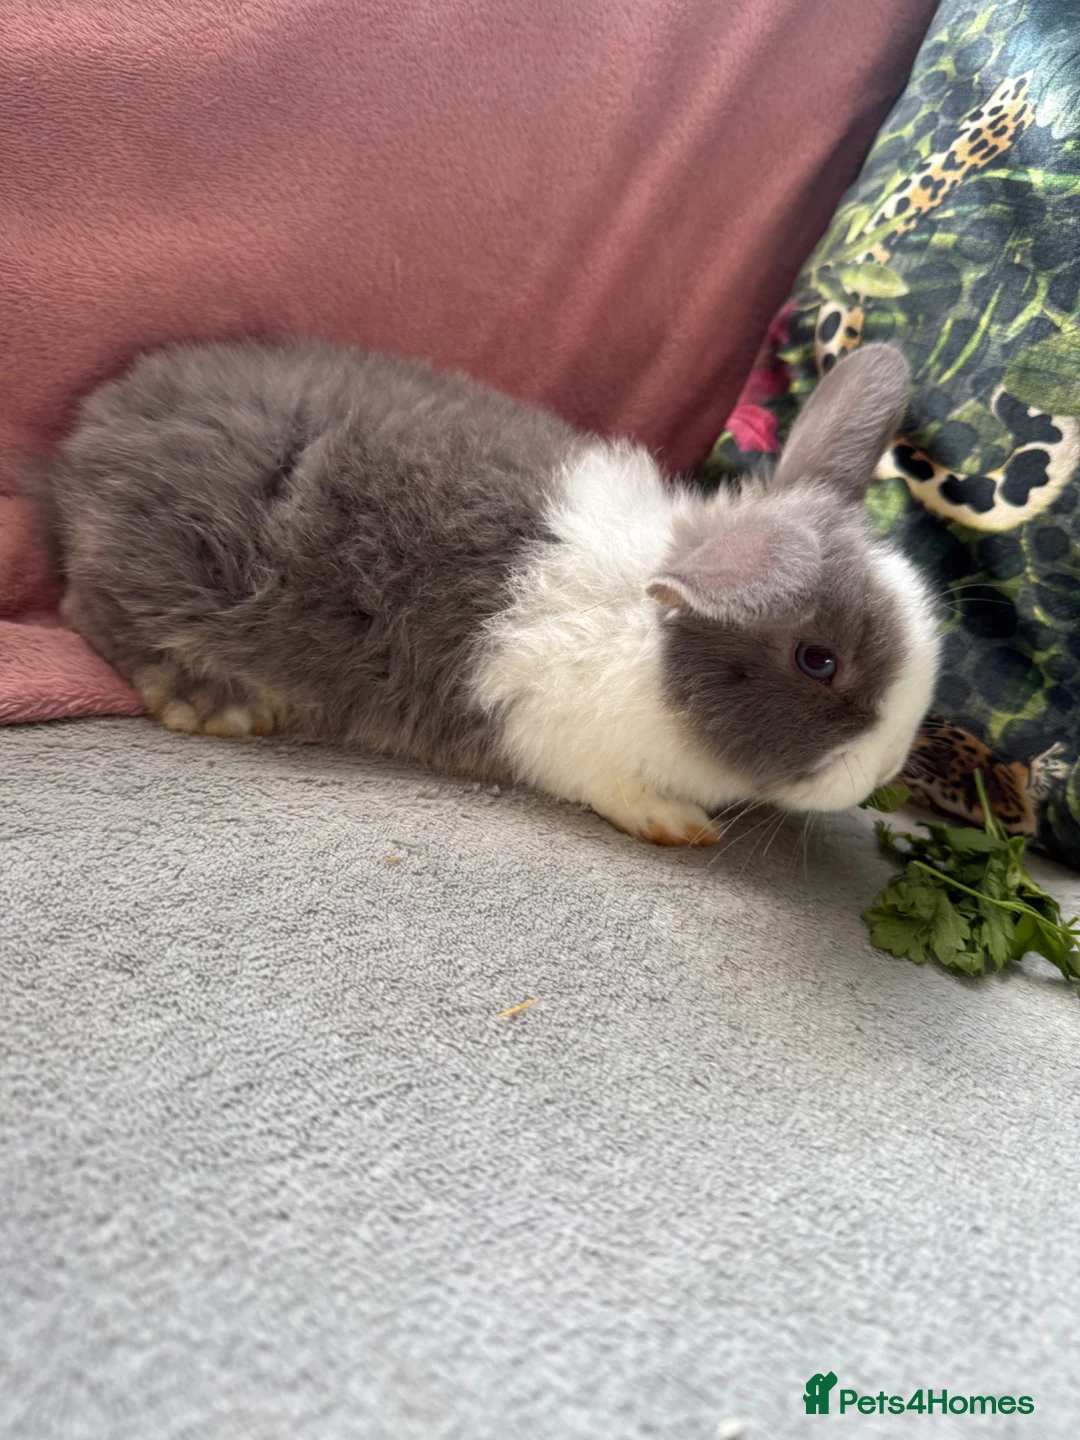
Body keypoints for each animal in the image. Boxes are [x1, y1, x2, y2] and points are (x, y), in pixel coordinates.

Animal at [30, 337, 940, 846]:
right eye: (818, 660)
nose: (889, 765)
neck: (653, 645)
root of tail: (92, 428)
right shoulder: (563, 740)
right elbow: (619, 790)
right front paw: (681, 828)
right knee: (90, 611)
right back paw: (215, 702)